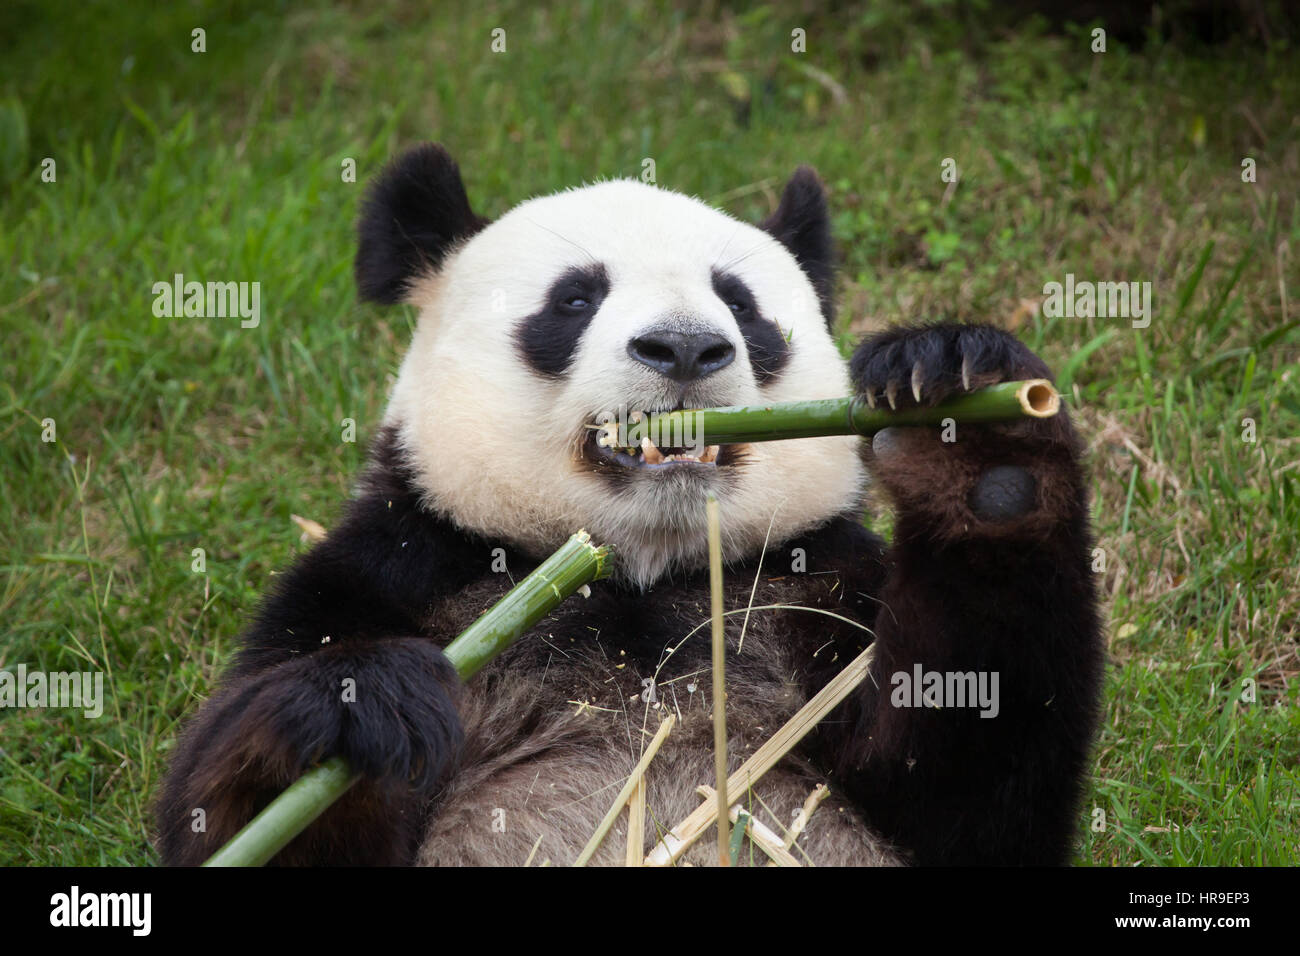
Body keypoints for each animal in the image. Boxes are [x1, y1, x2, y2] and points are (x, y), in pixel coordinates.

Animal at [157, 141, 1102, 868]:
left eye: (743, 306)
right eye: (575, 298)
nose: (684, 348)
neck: (642, 568)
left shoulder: (815, 588)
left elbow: (971, 788)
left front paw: (971, 427)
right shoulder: (402, 569)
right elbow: (242, 817)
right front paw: (360, 704)